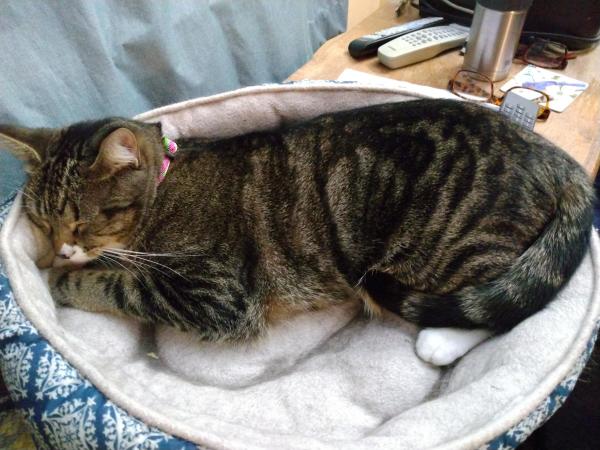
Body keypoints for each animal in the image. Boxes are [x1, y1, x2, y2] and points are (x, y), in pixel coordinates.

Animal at [0, 100, 592, 364]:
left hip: (451, 247)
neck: (167, 183)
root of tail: (549, 154)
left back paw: (441, 341)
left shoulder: (218, 295)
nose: (60, 251)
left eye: (80, 220)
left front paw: (65, 281)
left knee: (501, 304)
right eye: (42, 222)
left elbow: (121, 284)